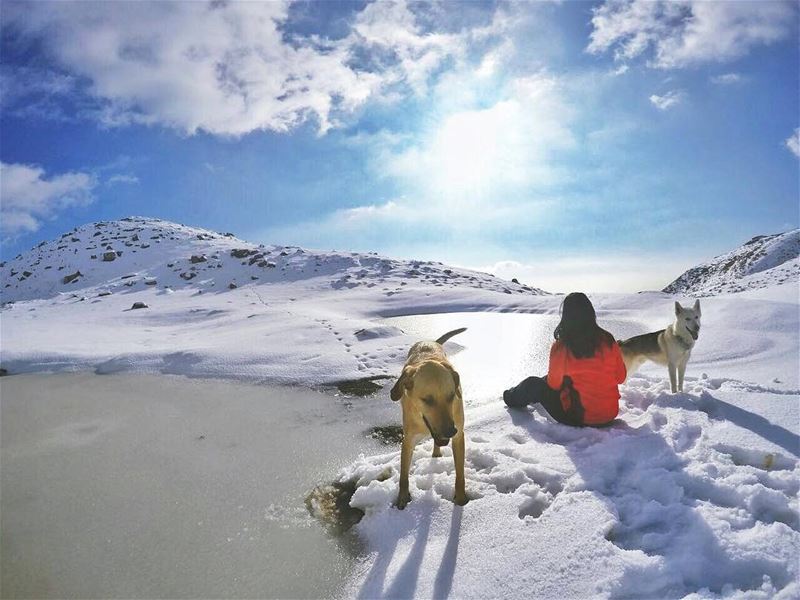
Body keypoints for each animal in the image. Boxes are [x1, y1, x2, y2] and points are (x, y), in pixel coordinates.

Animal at [390, 328, 466, 510]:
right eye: (427, 400)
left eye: (451, 396)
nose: (450, 431)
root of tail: (431, 341)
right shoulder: (408, 440)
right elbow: (403, 476)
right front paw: (402, 498)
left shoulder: (459, 437)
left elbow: (460, 474)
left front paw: (461, 500)